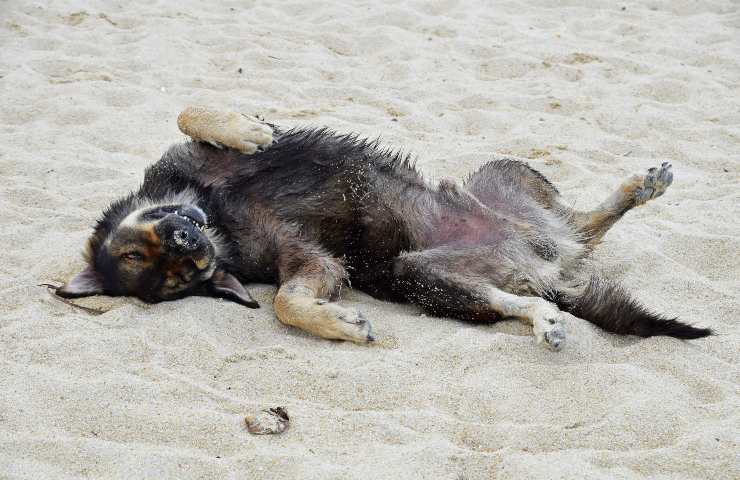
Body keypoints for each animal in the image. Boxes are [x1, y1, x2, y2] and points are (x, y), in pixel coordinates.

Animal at [57, 107, 712, 350]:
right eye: (172, 277)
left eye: (137, 251)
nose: (191, 244)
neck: (215, 215)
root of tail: (555, 264)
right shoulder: (310, 262)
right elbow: (288, 304)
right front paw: (340, 324)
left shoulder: (186, 162)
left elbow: (193, 112)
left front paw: (247, 129)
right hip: (419, 275)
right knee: (522, 295)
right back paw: (545, 318)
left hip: (505, 176)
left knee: (583, 222)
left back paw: (639, 188)